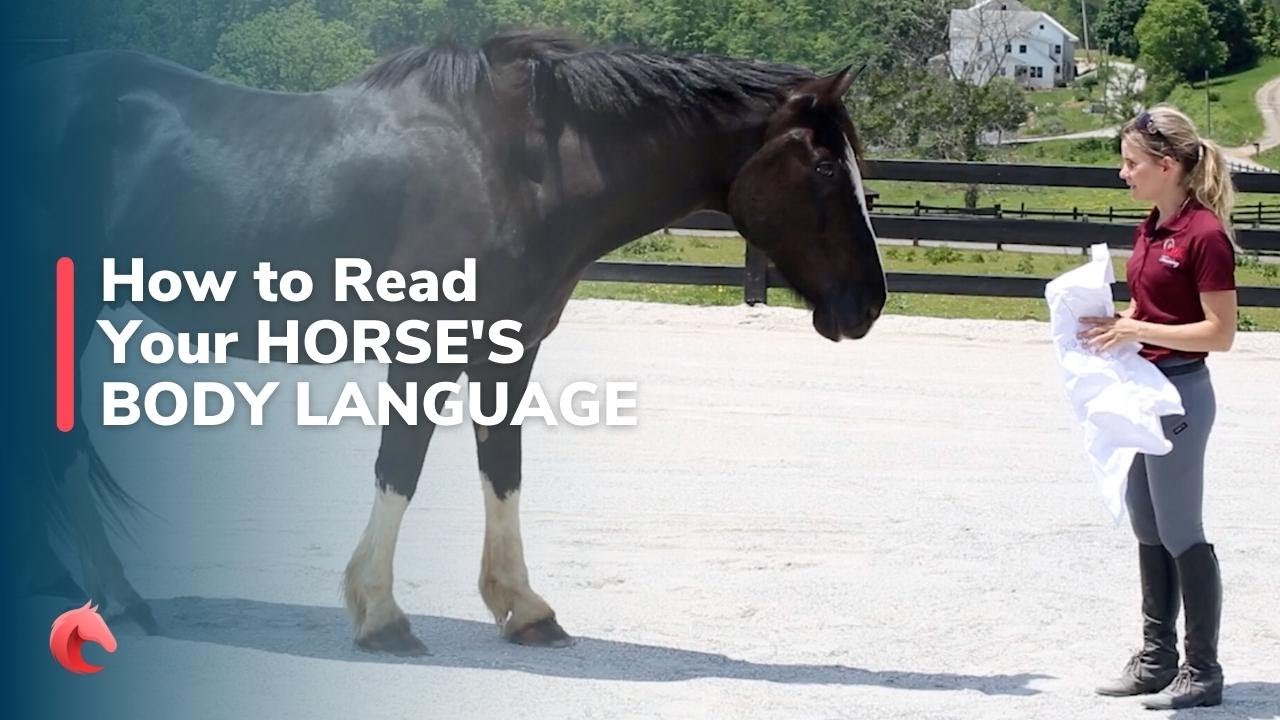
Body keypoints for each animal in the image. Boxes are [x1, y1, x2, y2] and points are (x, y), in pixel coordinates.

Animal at [6, 29, 887, 655]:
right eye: (822, 167)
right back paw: (115, 597)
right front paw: (380, 616)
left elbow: (503, 470)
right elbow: (400, 470)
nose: (870, 303)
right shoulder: (422, 354)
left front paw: (523, 609)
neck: (515, 167)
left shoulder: (508, 352)